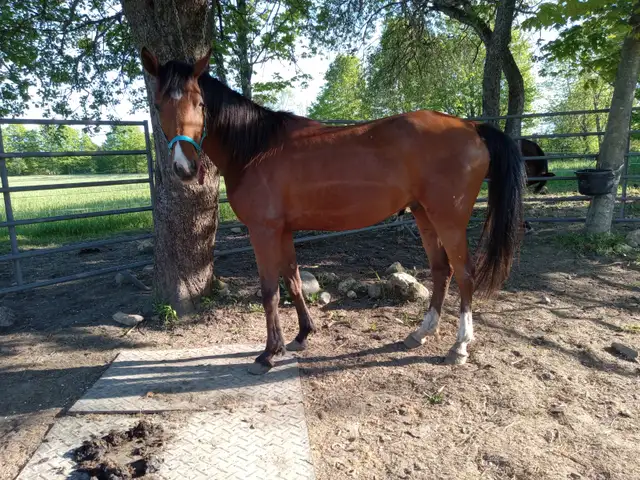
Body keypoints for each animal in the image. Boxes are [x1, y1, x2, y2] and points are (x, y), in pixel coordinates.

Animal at [141, 48, 525, 374]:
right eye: (158, 105)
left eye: (199, 102)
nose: (184, 168)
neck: (256, 148)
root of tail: (471, 127)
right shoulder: (283, 230)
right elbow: (293, 281)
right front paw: (301, 336)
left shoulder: (263, 230)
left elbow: (269, 291)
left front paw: (268, 353)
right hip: (424, 214)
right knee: (441, 270)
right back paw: (419, 333)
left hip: (449, 218)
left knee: (464, 274)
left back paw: (459, 347)